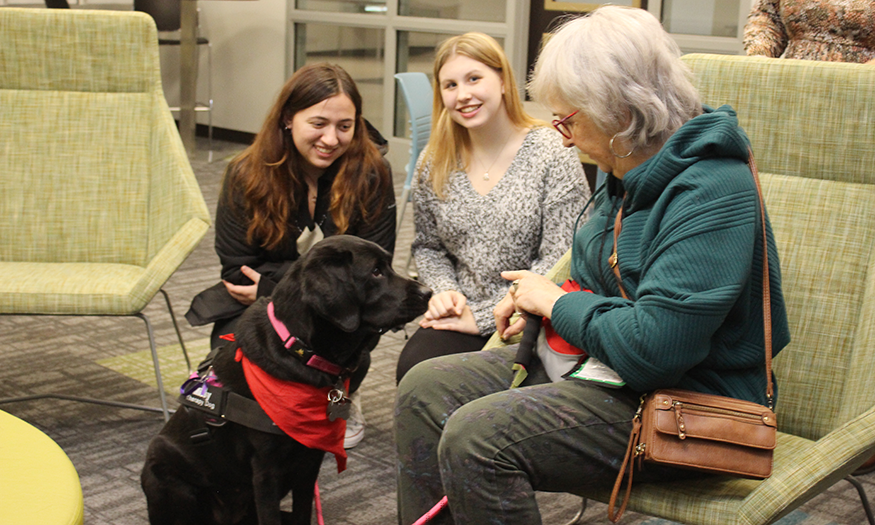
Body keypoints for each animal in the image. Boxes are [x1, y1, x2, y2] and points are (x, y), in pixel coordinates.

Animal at [142, 236, 432, 524]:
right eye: (376, 271)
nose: (428, 292)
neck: (300, 351)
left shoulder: (309, 462)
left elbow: (302, 512)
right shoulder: (267, 470)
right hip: (161, 466)